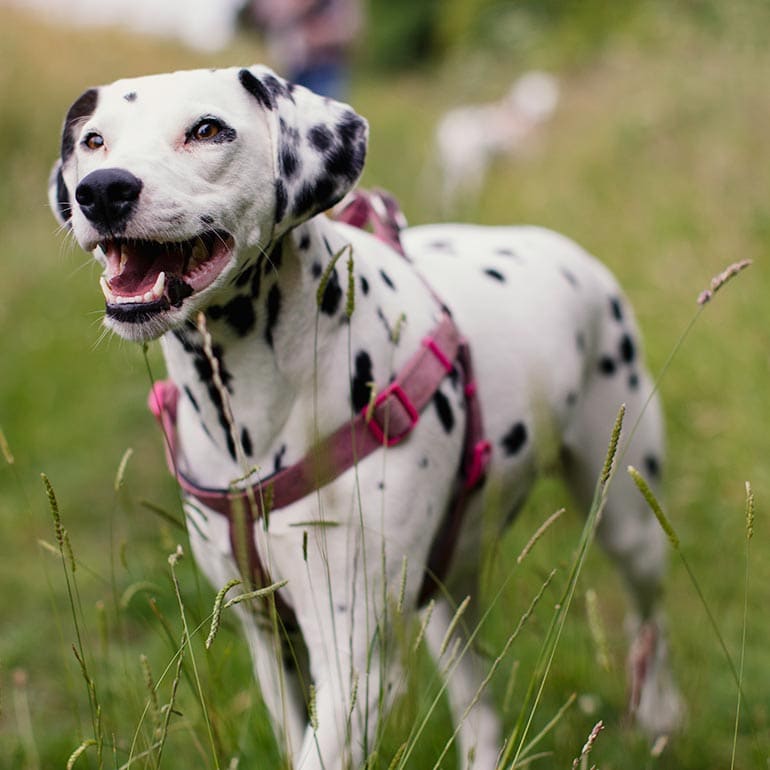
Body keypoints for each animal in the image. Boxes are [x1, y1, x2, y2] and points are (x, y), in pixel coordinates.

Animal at [51, 66, 680, 768]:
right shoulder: (269, 641)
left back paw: (658, 710)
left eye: (208, 129)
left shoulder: (356, 665)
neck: (250, 422)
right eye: (94, 140)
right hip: (447, 590)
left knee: (650, 616)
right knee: (477, 700)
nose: (101, 191)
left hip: (627, 518)